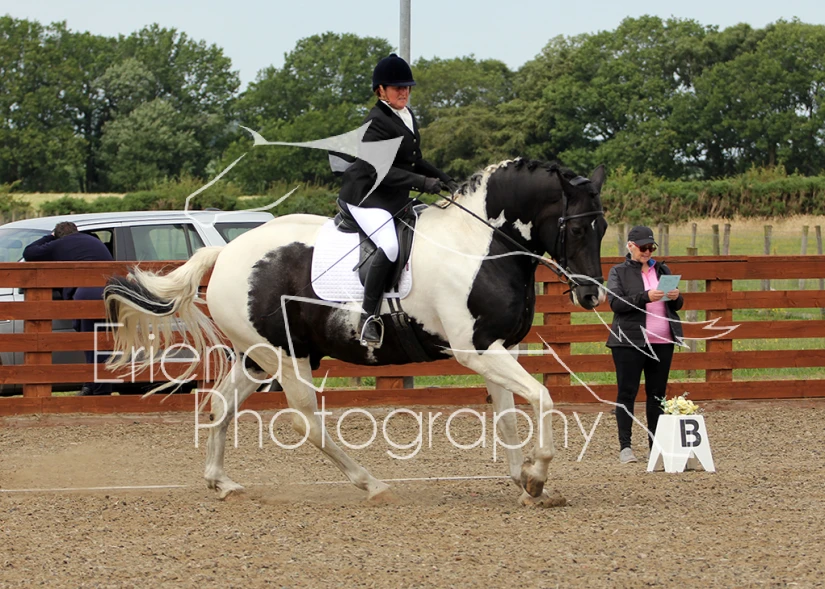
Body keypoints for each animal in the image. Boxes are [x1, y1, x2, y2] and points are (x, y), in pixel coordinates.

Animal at [104, 158, 608, 507]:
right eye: (577, 229)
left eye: (602, 227)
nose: (590, 296)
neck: (479, 246)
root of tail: (226, 252)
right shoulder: (475, 351)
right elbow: (543, 398)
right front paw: (538, 476)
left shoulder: (500, 348)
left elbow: (506, 416)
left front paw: (526, 483)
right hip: (286, 357)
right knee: (305, 421)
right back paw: (372, 484)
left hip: (258, 358)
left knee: (222, 405)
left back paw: (223, 483)